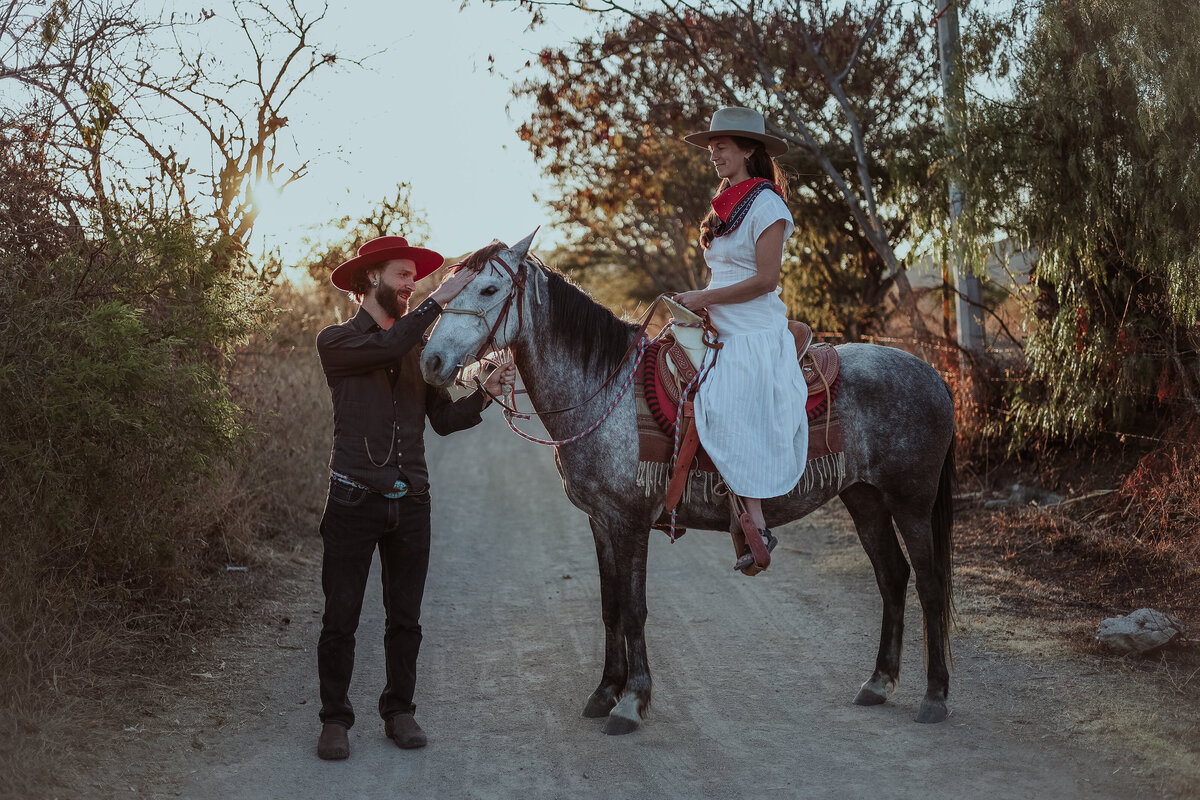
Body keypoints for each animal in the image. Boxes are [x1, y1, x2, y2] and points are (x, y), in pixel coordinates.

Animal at [422, 230, 955, 734]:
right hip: (864, 498)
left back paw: (935, 698)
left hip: (911, 501)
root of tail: (934, 375)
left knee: (929, 585)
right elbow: (610, 607)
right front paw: (605, 692)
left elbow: (634, 609)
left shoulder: (630, 522)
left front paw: (632, 702)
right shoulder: (601, 522)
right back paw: (878, 683)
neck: (604, 390)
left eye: (489, 288)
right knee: (893, 576)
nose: (430, 360)